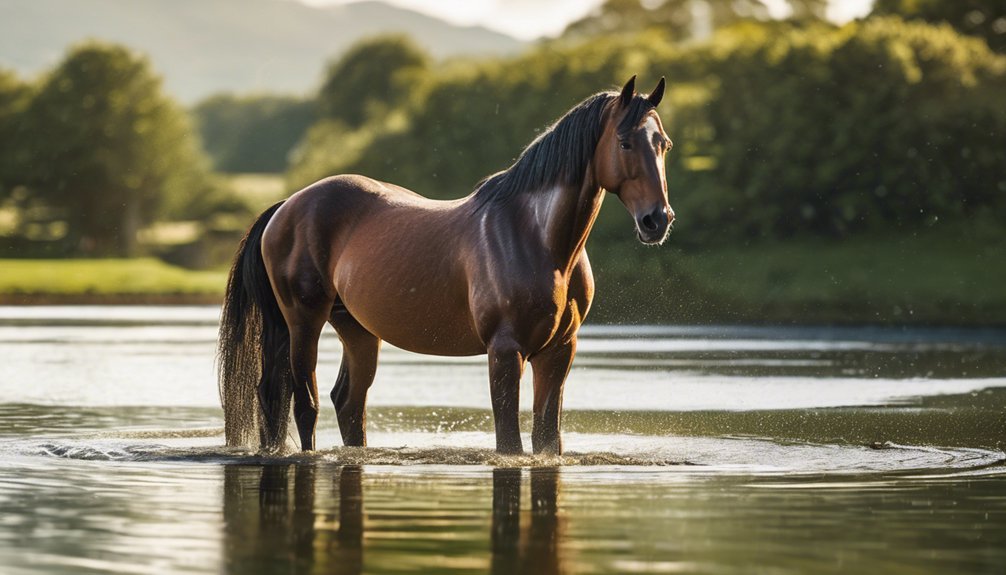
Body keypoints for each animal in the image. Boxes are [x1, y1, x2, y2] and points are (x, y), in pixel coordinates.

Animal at [220, 75, 676, 454]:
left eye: (663, 144)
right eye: (624, 142)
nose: (657, 220)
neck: (538, 240)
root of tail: (288, 206)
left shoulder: (559, 351)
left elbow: (547, 437)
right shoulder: (505, 352)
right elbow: (509, 442)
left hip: (355, 328)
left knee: (343, 402)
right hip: (302, 321)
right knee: (303, 403)